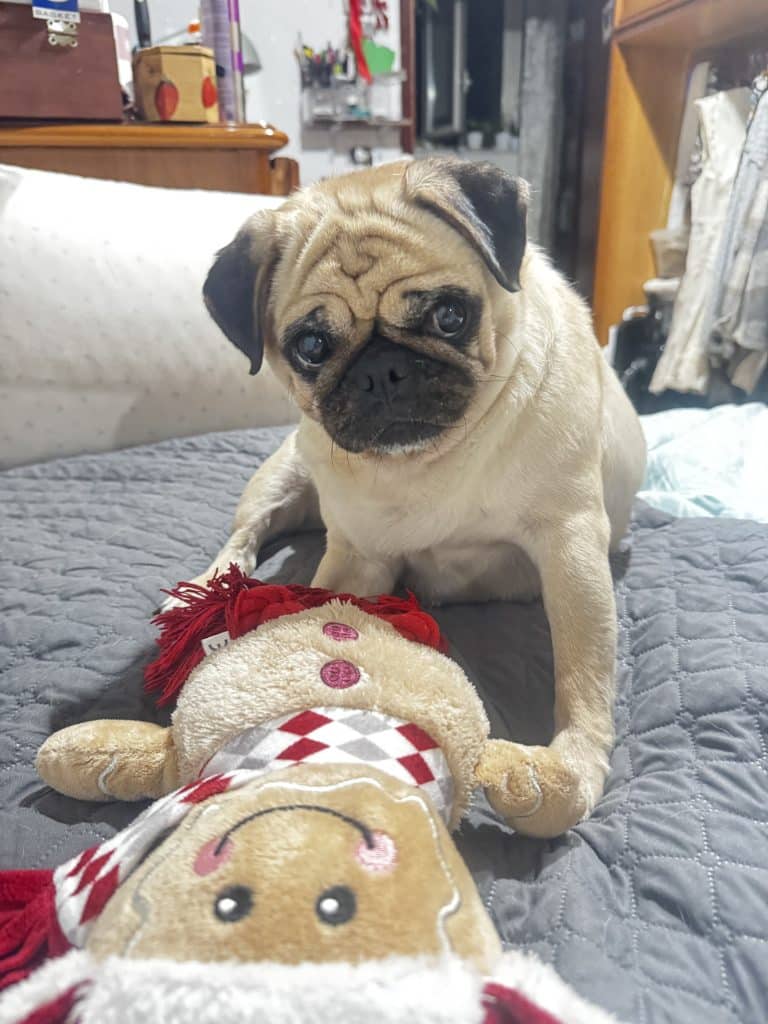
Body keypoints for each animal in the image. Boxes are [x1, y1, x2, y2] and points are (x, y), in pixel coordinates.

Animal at [188, 158, 646, 837]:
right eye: (312, 348)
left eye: (450, 317)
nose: (382, 370)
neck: (430, 460)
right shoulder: (357, 558)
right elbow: (327, 622)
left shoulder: (570, 550)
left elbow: (583, 672)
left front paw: (573, 765)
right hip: (282, 475)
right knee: (245, 534)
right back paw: (211, 588)